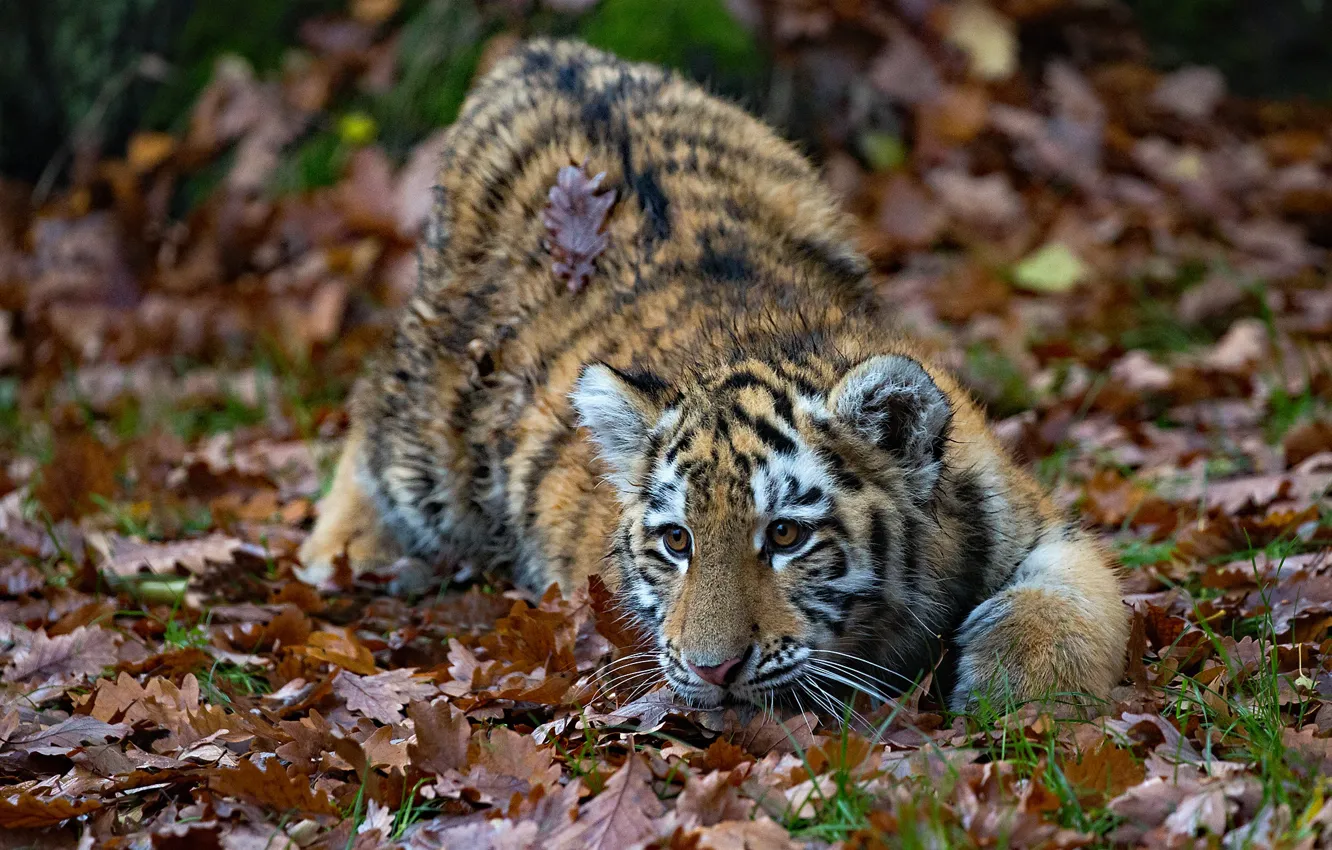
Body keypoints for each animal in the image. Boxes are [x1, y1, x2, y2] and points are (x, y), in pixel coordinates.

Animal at [298, 39, 1129, 711]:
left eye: (786, 535)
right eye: (676, 541)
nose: (712, 670)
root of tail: (541, 55)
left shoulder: (1030, 520)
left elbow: (1080, 598)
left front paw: (1019, 698)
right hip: (431, 437)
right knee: (367, 430)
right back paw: (341, 554)